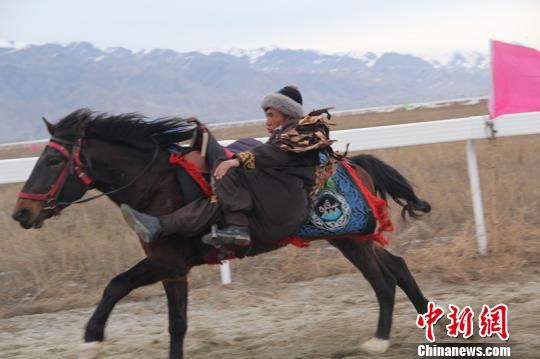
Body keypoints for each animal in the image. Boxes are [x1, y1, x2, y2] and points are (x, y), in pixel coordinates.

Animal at [11, 109, 430, 359]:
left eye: (53, 160)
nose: (21, 213)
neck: (157, 186)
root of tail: (354, 163)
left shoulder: (171, 265)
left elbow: (174, 322)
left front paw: (94, 335)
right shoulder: (164, 263)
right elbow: (117, 286)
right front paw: (92, 334)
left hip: (349, 238)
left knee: (383, 279)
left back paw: (380, 339)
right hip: (355, 239)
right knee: (396, 267)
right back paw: (428, 320)